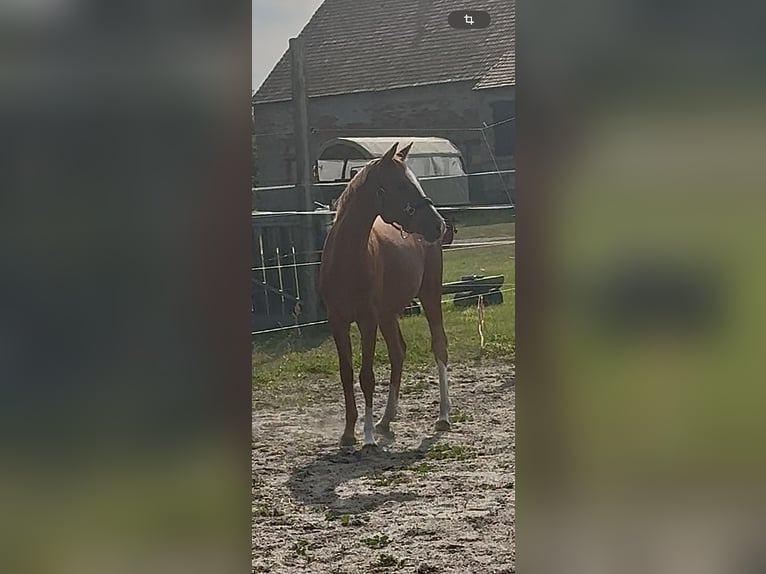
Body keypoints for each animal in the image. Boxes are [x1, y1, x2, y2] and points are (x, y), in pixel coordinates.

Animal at [319, 142, 451, 447]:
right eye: (401, 185)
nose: (438, 225)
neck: (346, 259)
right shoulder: (337, 322)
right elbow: (346, 374)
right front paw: (348, 433)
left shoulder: (367, 320)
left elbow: (366, 375)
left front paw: (366, 436)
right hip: (388, 314)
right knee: (398, 352)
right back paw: (386, 420)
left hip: (429, 295)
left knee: (439, 345)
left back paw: (442, 417)